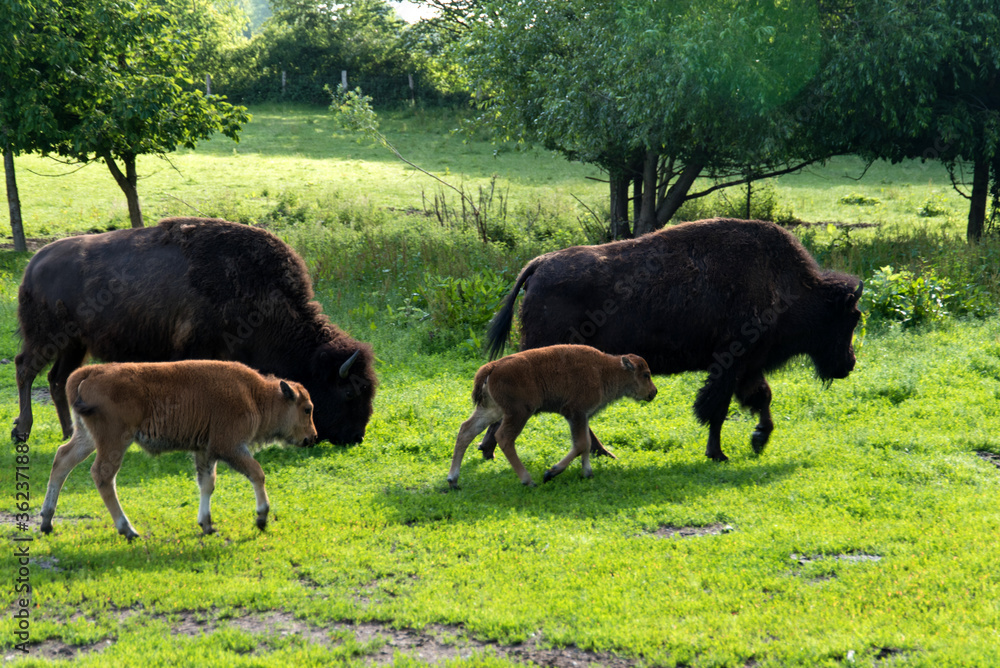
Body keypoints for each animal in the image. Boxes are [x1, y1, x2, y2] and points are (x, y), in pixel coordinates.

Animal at [10, 218, 378, 444]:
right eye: (350, 392)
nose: (355, 437)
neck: (262, 295)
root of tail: (34, 263)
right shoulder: (197, 350)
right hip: (45, 338)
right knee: (25, 369)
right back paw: (21, 432)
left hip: (74, 344)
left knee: (58, 379)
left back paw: (67, 431)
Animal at [40, 358, 316, 540]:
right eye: (307, 409)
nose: (311, 438)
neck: (255, 395)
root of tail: (89, 372)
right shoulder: (230, 447)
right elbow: (257, 473)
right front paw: (261, 518)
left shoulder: (205, 451)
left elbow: (207, 483)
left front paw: (207, 525)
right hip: (115, 441)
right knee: (103, 476)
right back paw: (128, 530)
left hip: (86, 437)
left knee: (62, 460)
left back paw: (46, 522)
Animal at [452, 344, 656, 486]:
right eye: (646, 374)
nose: (653, 392)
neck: (604, 370)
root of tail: (493, 366)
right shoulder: (575, 413)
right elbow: (581, 444)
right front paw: (550, 473)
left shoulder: (582, 417)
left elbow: (586, 444)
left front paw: (587, 473)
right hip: (519, 413)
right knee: (503, 438)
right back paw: (528, 481)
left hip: (492, 409)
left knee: (466, 430)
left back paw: (453, 480)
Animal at [488, 217, 864, 462]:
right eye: (851, 317)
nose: (849, 363)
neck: (789, 286)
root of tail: (539, 264)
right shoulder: (730, 364)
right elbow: (718, 408)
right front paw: (719, 454)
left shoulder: (747, 367)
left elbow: (761, 398)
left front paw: (758, 440)